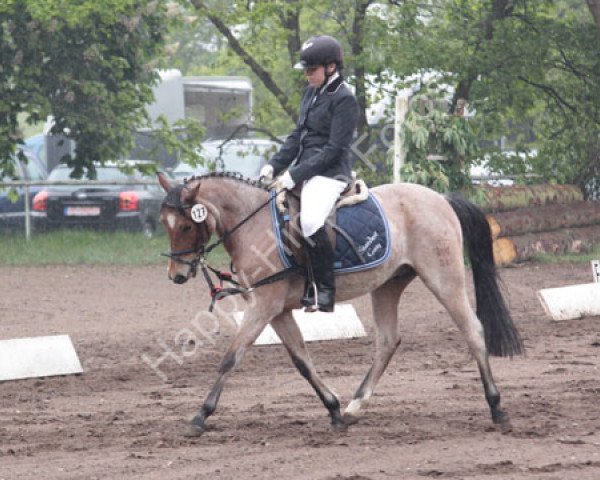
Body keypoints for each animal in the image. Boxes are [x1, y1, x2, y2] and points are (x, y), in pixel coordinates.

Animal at [157, 171, 524, 436]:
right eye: (166, 224)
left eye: (187, 225)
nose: (176, 275)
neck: (256, 226)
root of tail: (441, 198)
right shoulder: (277, 311)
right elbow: (302, 361)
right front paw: (333, 410)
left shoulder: (263, 307)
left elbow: (230, 358)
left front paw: (200, 416)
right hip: (388, 285)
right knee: (388, 341)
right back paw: (353, 407)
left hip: (444, 278)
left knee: (473, 330)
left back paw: (497, 408)